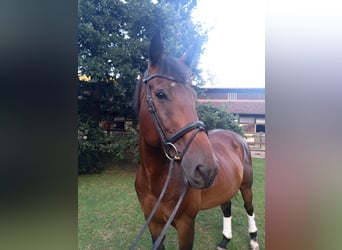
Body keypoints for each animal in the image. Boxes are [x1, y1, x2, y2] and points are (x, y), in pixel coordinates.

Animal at [132, 32, 260, 249]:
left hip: (246, 186)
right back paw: (225, 240)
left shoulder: (186, 224)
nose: (206, 168)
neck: (155, 178)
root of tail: (238, 137)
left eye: (193, 96)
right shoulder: (154, 223)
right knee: (227, 207)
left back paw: (253, 239)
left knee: (249, 207)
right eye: (160, 94)